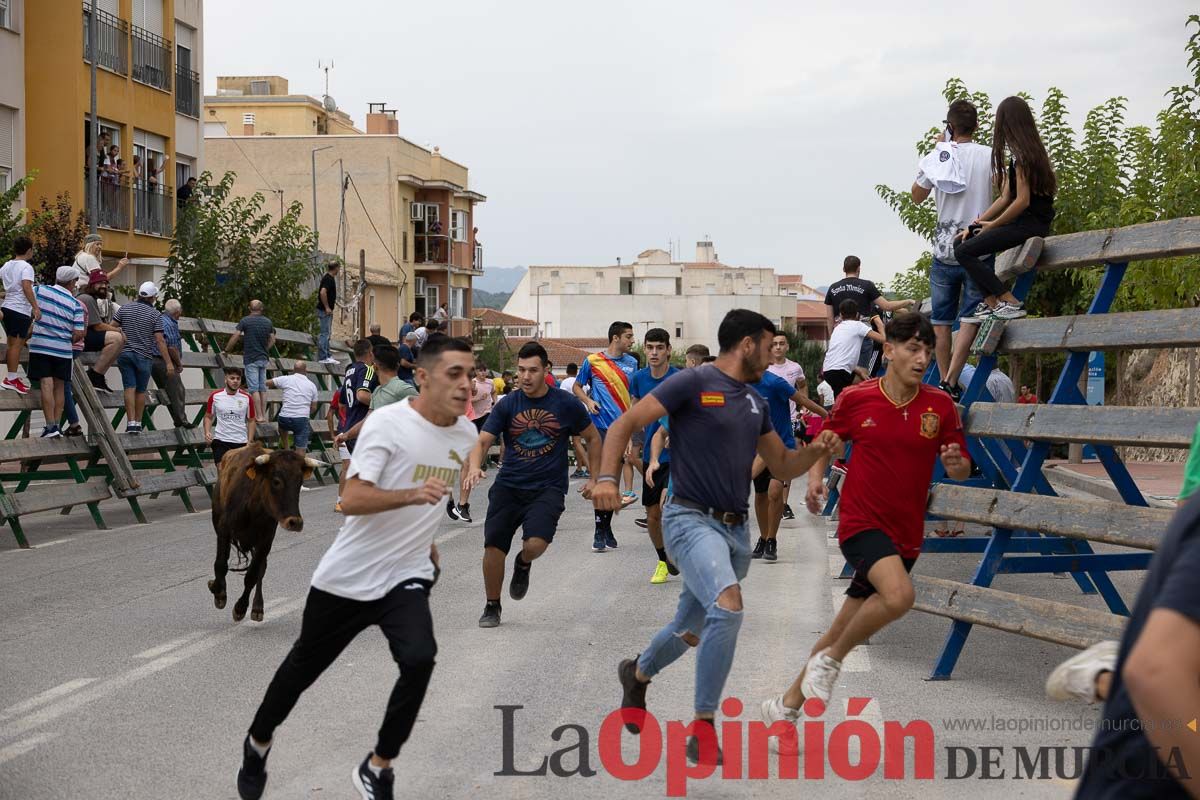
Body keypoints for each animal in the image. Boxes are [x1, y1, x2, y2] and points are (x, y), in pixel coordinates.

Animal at [207, 448, 321, 623]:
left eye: (299, 482)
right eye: (276, 481)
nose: (295, 522)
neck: (253, 507)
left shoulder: (265, 540)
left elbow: (253, 575)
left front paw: (241, 608)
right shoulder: (223, 530)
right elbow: (220, 564)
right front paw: (219, 593)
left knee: (261, 569)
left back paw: (257, 608)